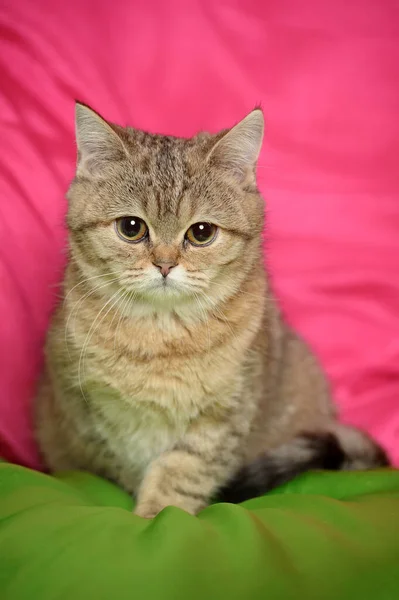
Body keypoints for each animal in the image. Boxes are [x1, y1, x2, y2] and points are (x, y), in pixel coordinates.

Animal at [35, 102, 390, 516]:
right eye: (131, 228)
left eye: (201, 232)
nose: (165, 264)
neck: (161, 336)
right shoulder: (93, 416)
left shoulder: (223, 418)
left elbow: (181, 474)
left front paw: (158, 515)